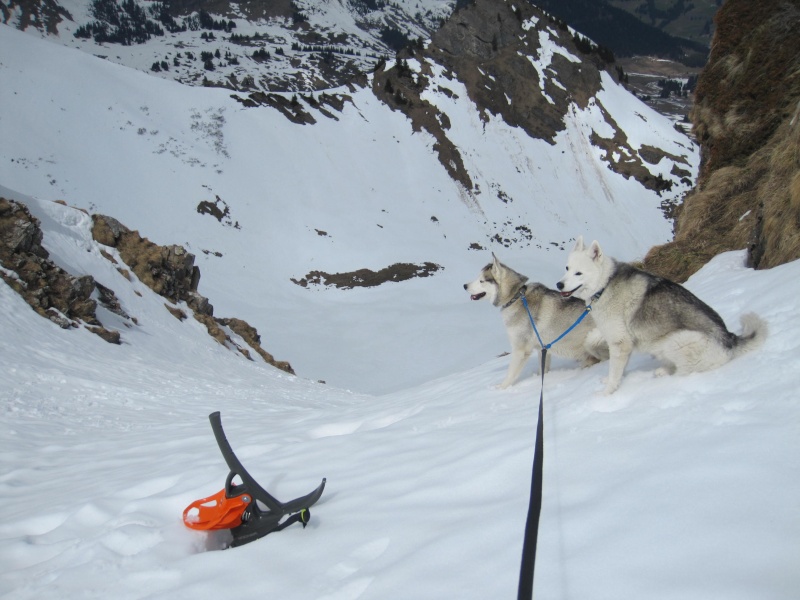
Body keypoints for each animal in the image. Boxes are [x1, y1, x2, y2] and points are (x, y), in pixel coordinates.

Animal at [462, 254, 608, 390]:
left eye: (481, 280)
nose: (464, 285)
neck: (515, 297)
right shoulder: (542, 349)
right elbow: (543, 370)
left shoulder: (520, 349)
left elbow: (510, 373)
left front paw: (501, 388)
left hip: (592, 339)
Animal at [556, 237, 768, 396]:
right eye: (566, 268)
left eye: (578, 273)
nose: (559, 285)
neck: (605, 284)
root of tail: (730, 340)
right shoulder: (621, 341)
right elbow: (609, 359)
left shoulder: (620, 342)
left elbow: (615, 372)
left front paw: (607, 393)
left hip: (677, 341)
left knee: (685, 372)